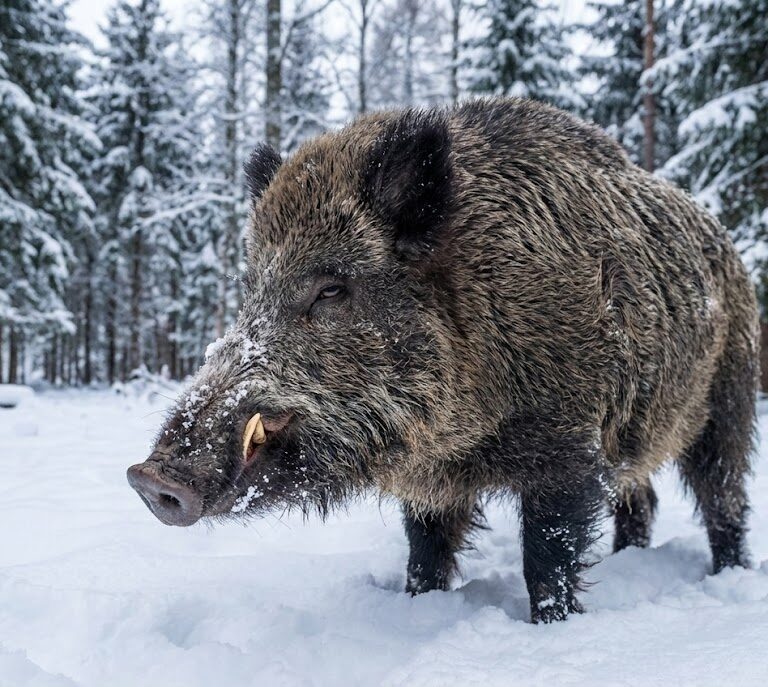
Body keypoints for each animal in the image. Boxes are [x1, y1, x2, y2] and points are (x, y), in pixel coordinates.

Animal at [128, 98, 759, 623]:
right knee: (641, 496)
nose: (150, 477)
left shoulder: (570, 446)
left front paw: (552, 628)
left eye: (331, 289)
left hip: (730, 396)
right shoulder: (431, 479)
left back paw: (731, 574)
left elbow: (546, 558)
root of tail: (728, 245)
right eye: (250, 290)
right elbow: (425, 552)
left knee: (722, 494)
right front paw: (419, 604)